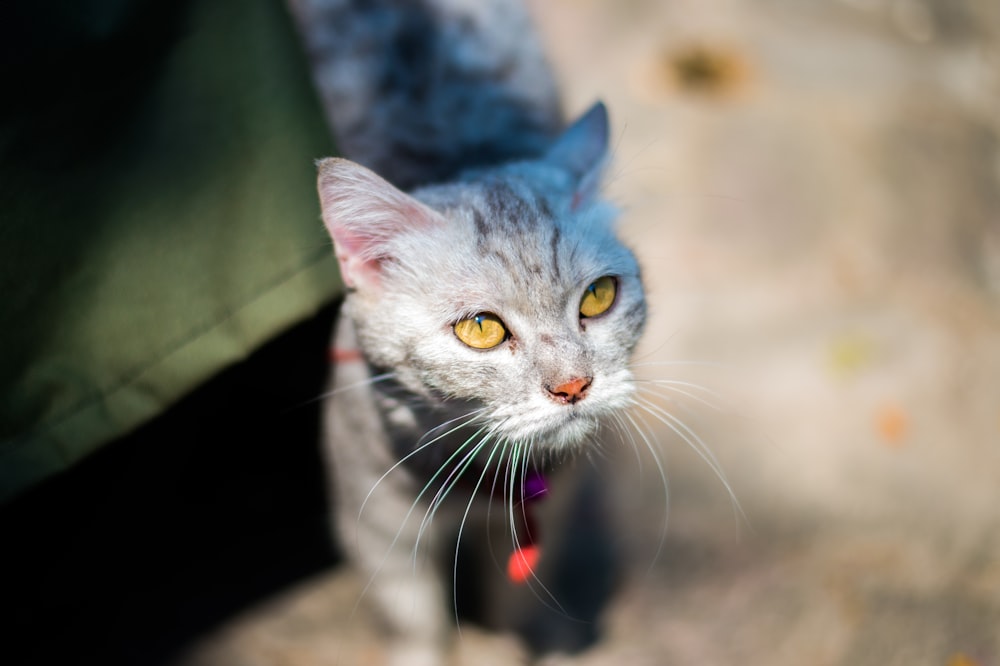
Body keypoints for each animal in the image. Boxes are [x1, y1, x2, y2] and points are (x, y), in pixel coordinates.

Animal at [290, 1, 648, 664]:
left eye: (599, 297)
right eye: (480, 328)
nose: (574, 386)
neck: (484, 488)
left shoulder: (545, 517)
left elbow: (522, 599)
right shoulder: (377, 524)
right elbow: (416, 626)